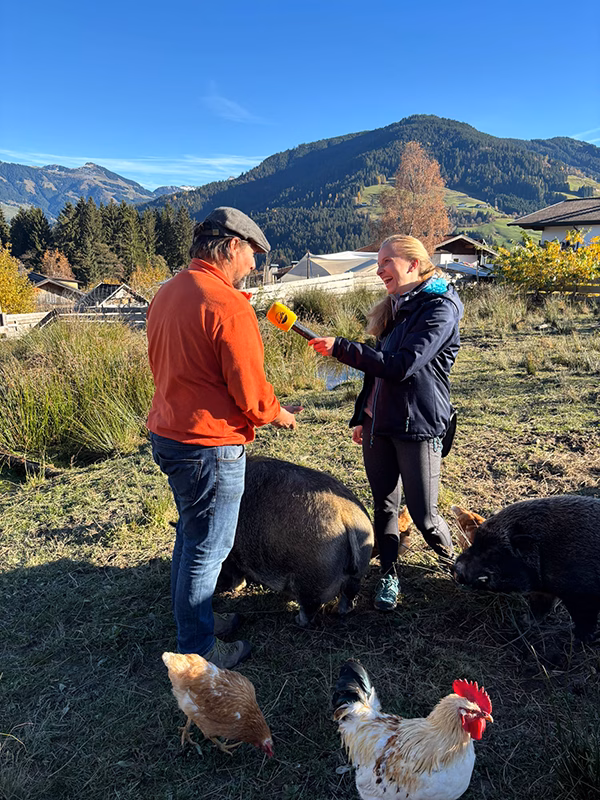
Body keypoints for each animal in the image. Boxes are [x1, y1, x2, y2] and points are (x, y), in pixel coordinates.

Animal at [218, 456, 374, 626]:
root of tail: (346, 515)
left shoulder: (233, 555)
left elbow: (236, 574)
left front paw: (235, 589)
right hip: (357, 572)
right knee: (349, 595)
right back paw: (338, 611)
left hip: (311, 581)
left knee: (310, 608)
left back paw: (298, 620)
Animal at [452, 495, 600, 642]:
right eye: (475, 543)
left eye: (493, 552)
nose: (456, 568)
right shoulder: (543, 591)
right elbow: (539, 606)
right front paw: (524, 620)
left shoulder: (582, 593)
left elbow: (585, 619)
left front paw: (581, 639)